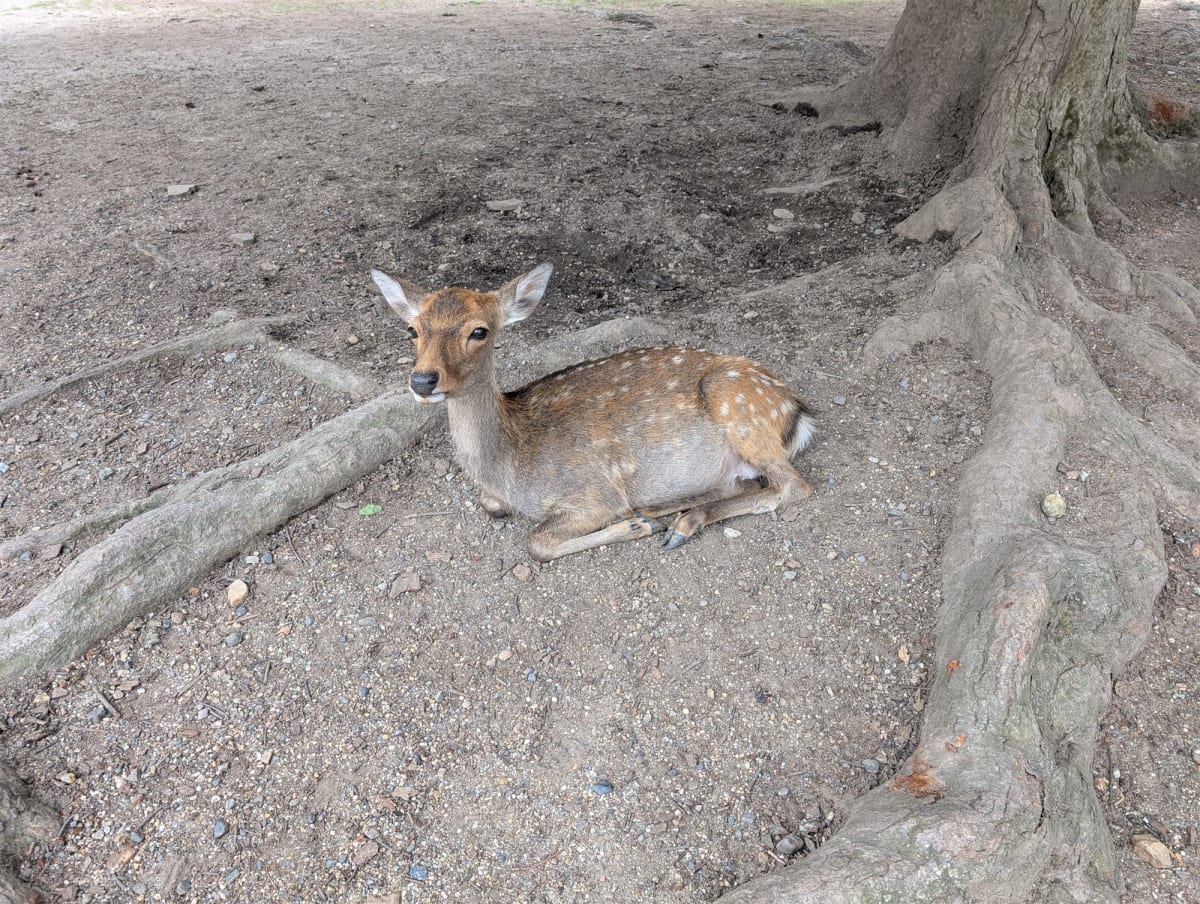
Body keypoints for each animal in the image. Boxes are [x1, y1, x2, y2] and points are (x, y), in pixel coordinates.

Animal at [371, 263, 815, 562]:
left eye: (479, 330)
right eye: (412, 330)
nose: (422, 380)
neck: (508, 466)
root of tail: (796, 410)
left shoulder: (591, 494)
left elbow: (536, 543)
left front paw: (634, 525)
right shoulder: (497, 496)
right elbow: (491, 506)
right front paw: (642, 519)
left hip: (737, 403)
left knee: (793, 486)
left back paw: (672, 521)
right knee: (741, 484)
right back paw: (663, 512)